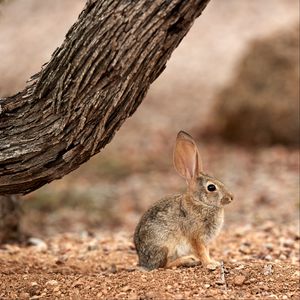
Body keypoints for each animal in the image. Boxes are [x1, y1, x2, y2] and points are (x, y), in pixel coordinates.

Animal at [134, 130, 234, 270]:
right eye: (211, 187)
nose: (231, 197)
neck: (200, 202)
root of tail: (143, 262)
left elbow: (206, 251)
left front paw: (214, 261)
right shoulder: (196, 237)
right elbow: (202, 252)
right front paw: (211, 264)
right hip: (164, 246)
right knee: (163, 265)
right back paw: (187, 260)